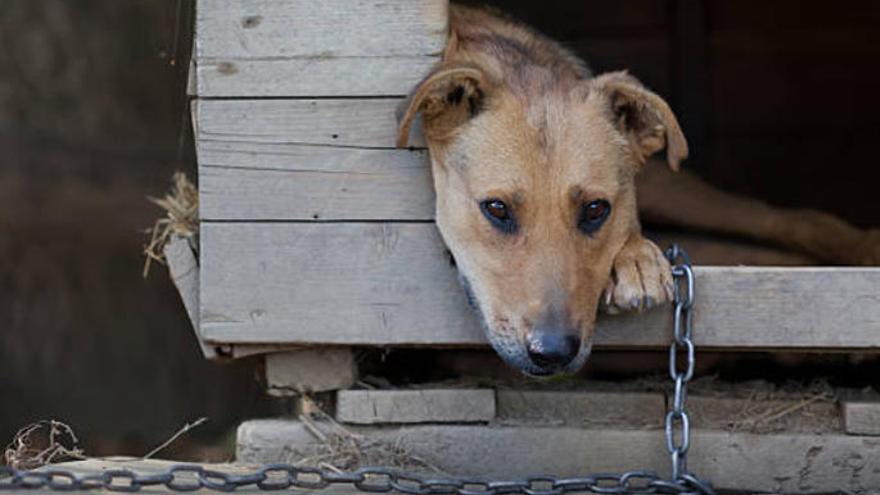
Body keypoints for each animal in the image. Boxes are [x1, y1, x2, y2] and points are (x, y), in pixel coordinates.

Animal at [398, 3, 880, 378]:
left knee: (789, 222)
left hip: (676, 189)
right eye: (496, 209)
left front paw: (637, 259)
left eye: (596, 209)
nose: (553, 353)